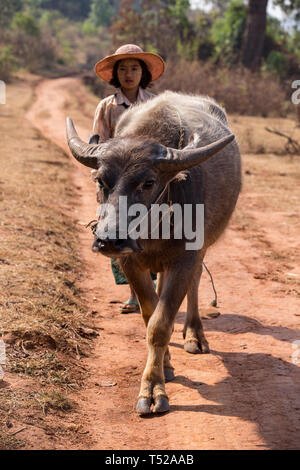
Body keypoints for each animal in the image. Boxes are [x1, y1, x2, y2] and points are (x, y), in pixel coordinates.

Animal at [66, 91, 241, 414]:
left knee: (195, 284)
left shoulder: (185, 258)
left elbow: (161, 324)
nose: (109, 240)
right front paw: (165, 367)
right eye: (100, 180)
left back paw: (195, 334)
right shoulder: (129, 261)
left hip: (201, 250)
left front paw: (151, 390)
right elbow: (150, 315)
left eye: (147, 182)